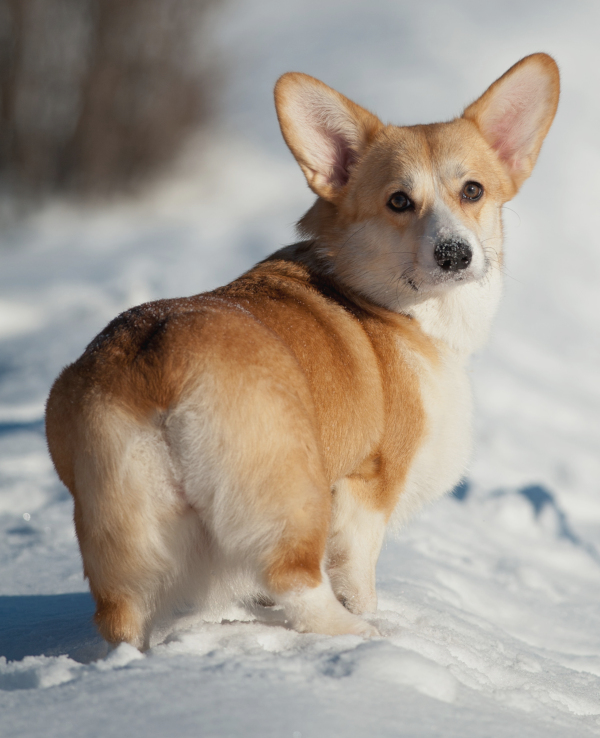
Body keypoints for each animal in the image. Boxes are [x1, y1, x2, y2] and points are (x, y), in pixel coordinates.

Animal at [44, 54, 560, 648]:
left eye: (473, 190)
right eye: (398, 201)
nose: (455, 253)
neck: (386, 301)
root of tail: (157, 362)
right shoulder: (367, 490)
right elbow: (358, 573)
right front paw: (371, 612)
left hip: (120, 529)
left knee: (123, 616)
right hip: (292, 492)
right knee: (296, 580)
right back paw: (362, 633)